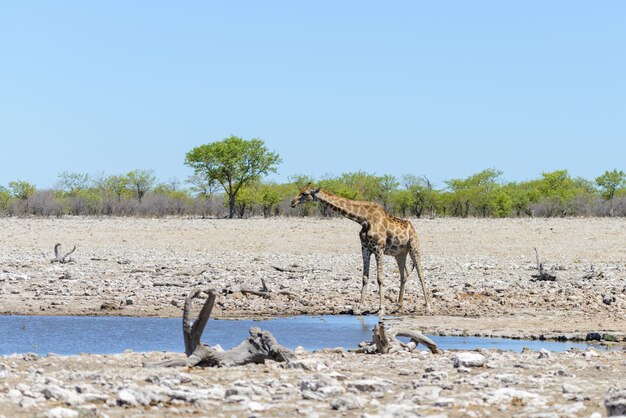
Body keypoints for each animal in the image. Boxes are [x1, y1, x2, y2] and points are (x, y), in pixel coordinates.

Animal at [292, 184, 428, 316]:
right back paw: (398, 306)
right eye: (300, 190)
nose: (292, 202)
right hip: (399, 253)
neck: (363, 219)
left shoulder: (379, 248)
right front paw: (359, 308)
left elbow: (380, 278)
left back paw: (428, 306)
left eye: (305, 193)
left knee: (421, 274)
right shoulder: (365, 248)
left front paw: (381, 309)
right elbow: (365, 277)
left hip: (414, 247)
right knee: (404, 274)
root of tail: (413, 228)